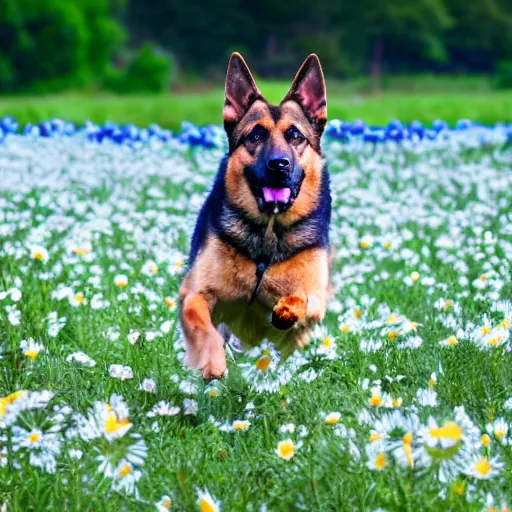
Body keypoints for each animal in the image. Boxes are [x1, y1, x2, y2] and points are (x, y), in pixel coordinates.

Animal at [180, 53, 332, 380]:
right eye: (256, 135)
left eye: (295, 135)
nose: (279, 165)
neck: (268, 233)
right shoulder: (195, 293)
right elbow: (203, 324)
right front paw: (212, 363)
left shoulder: (315, 297)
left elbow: (301, 298)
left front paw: (287, 310)